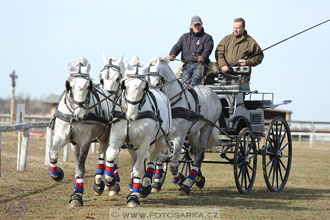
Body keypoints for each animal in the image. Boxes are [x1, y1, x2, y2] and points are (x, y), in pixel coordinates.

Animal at [49, 55, 113, 207]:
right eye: (69, 85)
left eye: (88, 86)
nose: (80, 115)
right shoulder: (62, 136)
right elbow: (53, 154)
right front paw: (57, 174)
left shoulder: (85, 141)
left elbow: (80, 167)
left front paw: (77, 196)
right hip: (75, 144)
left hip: (104, 136)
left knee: (103, 156)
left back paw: (99, 184)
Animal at [104, 62, 173, 207]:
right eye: (124, 85)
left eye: (143, 88)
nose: (130, 114)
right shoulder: (115, 138)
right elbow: (111, 155)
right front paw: (109, 180)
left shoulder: (144, 143)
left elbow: (138, 168)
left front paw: (134, 197)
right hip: (132, 145)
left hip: (160, 139)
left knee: (153, 159)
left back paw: (146, 185)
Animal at [146, 56, 220, 194]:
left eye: (158, 83)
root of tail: (213, 93)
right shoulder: (163, 136)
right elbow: (161, 159)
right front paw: (155, 183)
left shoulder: (179, 137)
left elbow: (174, 165)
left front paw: (180, 179)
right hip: (193, 132)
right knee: (194, 153)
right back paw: (198, 178)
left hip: (207, 127)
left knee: (199, 154)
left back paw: (188, 182)